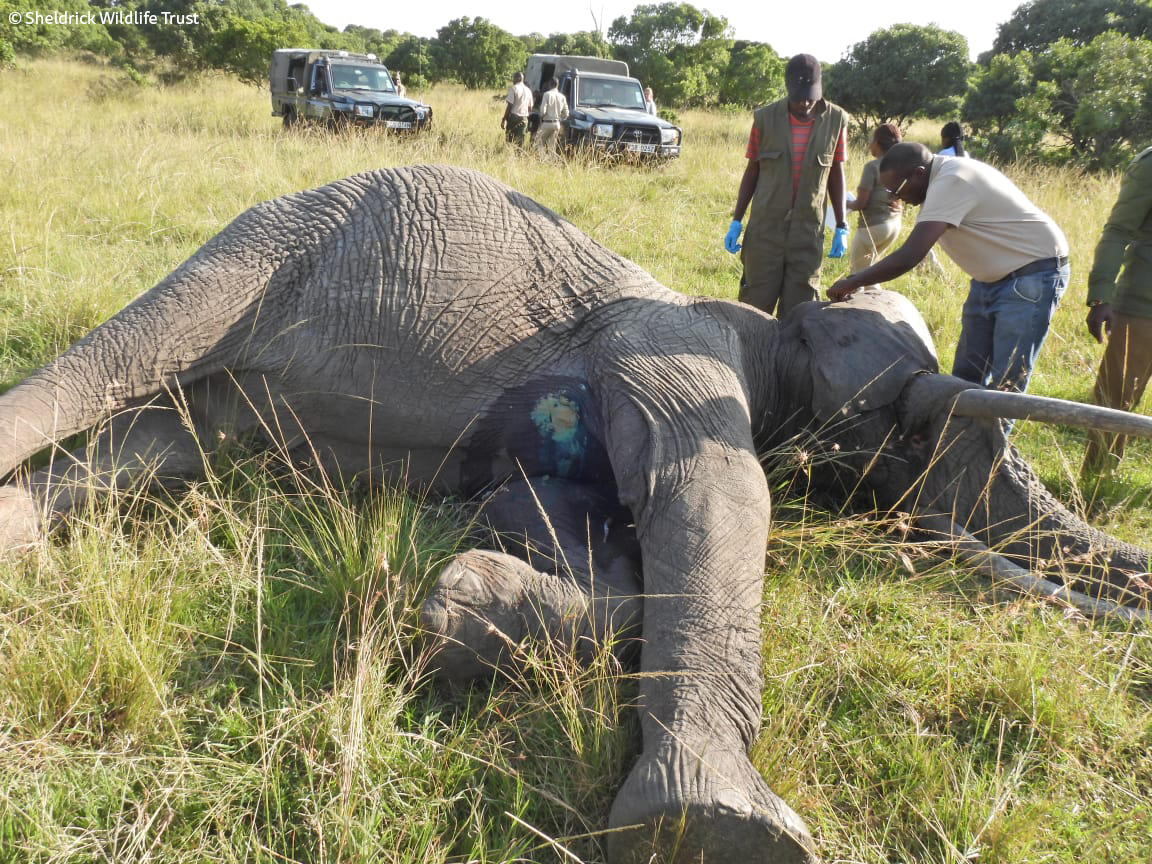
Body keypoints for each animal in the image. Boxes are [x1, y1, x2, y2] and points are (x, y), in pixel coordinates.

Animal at [0, 164, 1149, 864]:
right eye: (905, 427)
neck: (774, 329)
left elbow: (591, 547)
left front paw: (461, 606)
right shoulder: (679, 364)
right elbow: (717, 500)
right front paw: (714, 825)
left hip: (242, 386)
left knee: (155, 438)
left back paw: (20, 527)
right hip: (264, 251)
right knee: (121, 358)